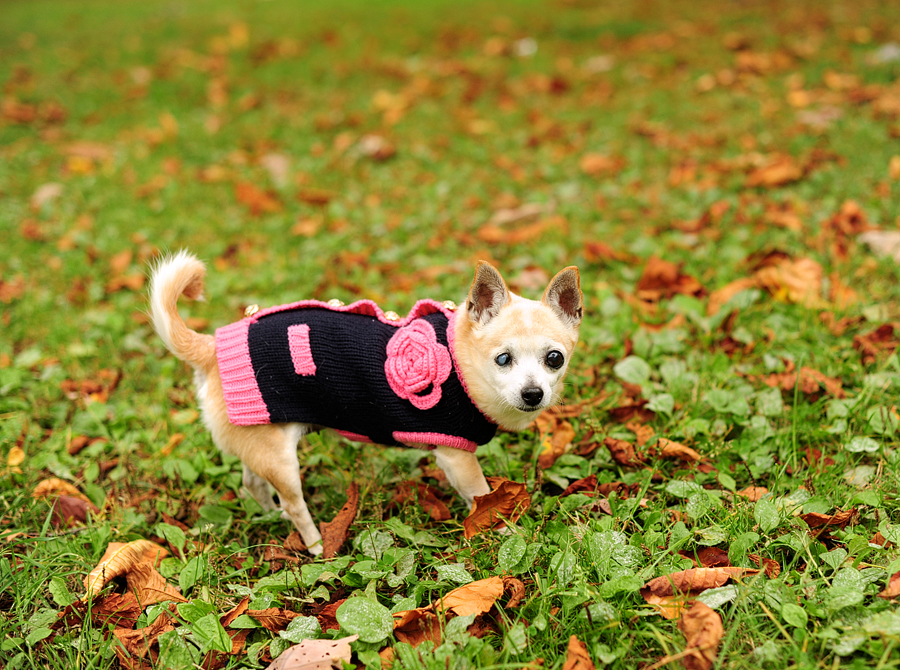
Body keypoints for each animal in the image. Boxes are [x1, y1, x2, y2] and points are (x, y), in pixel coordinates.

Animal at [149, 252, 584, 556]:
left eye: (555, 359)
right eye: (503, 359)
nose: (533, 394)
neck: (460, 362)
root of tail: (212, 347)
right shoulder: (457, 458)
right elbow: (482, 497)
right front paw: (505, 531)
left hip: (257, 441)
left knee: (252, 483)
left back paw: (270, 514)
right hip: (281, 460)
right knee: (295, 504)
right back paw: (316, 546)